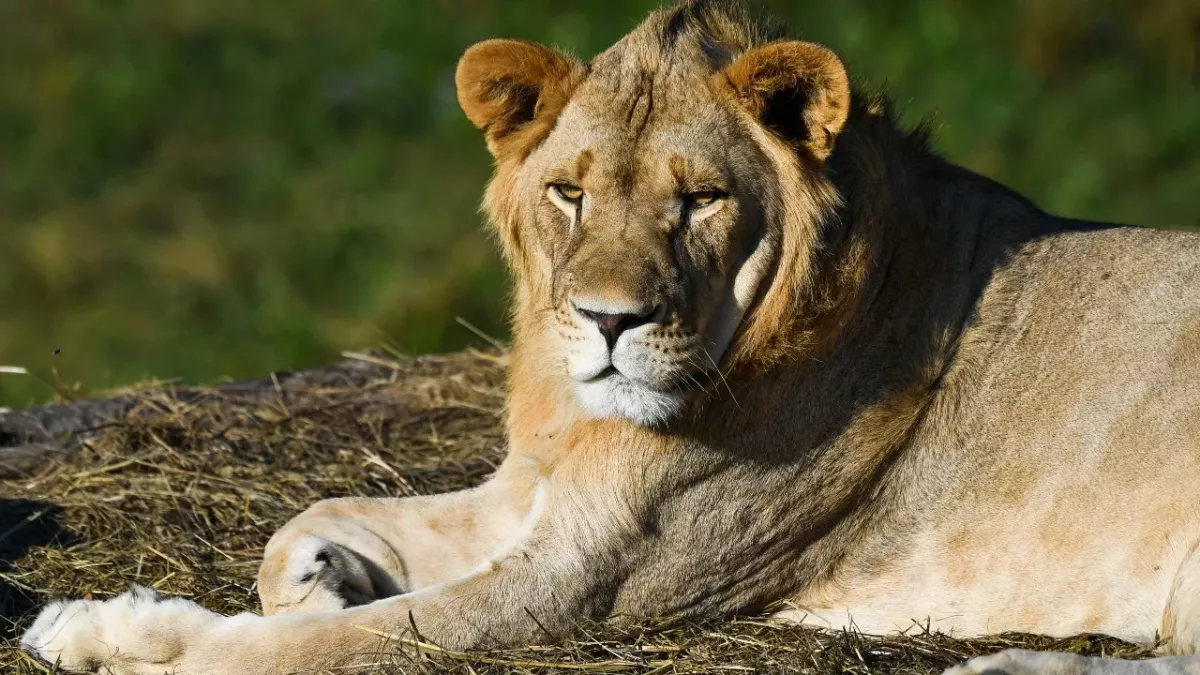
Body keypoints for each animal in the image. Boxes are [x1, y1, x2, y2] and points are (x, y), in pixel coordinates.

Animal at [20, 2, 1200, 674]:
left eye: (703, 199)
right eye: (570, 194)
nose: (608, 322)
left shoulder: (583, 581)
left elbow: (317, 649)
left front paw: (112, 633)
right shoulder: (534, 494)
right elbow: (308, 519)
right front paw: (323, 568)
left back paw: (997, 666)